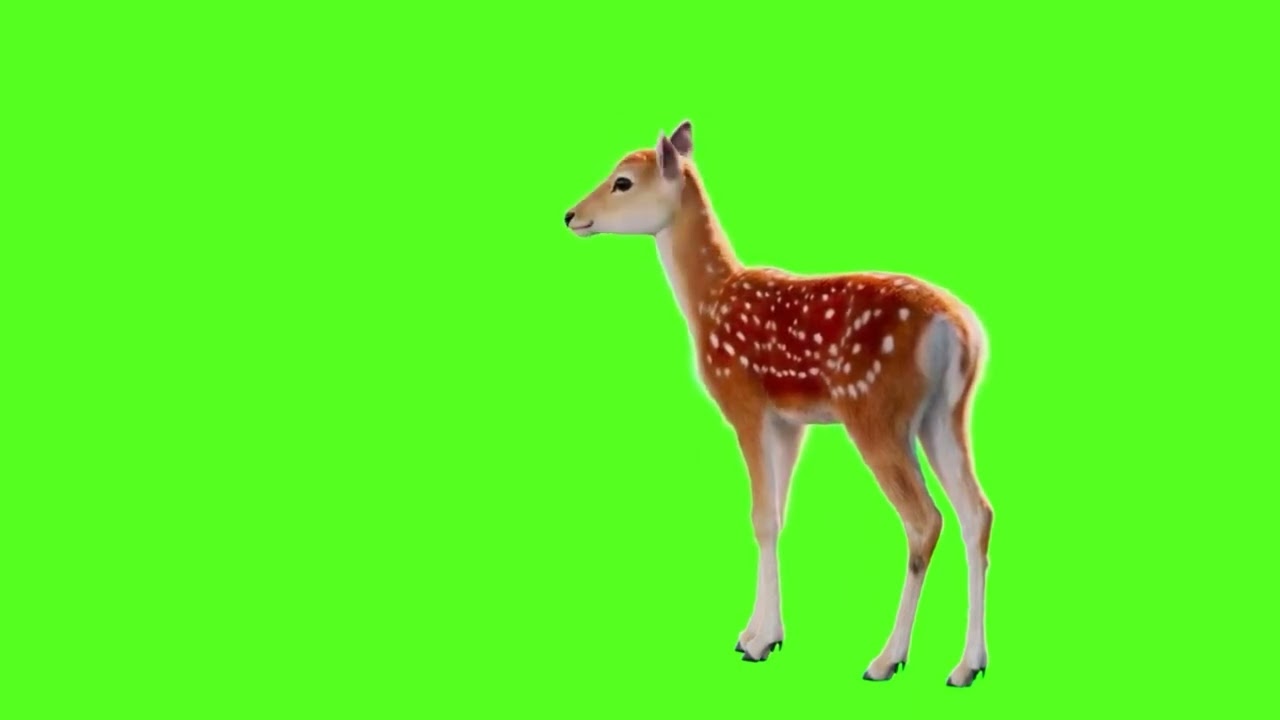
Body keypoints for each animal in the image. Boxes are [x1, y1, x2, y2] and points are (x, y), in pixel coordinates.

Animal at [563, 121, 994, 688]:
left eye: (622, 182)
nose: (571, 214)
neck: (709, 303)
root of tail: (960, 330)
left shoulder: (745, 401)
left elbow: (761, 517)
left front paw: (759, 642)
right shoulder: (792, 422)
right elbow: (778, 517)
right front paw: (759, 632)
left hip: (876, 412)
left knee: (925, 521)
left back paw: (887, 659)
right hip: (945, 415)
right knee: (976, 513)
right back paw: (968, 665)